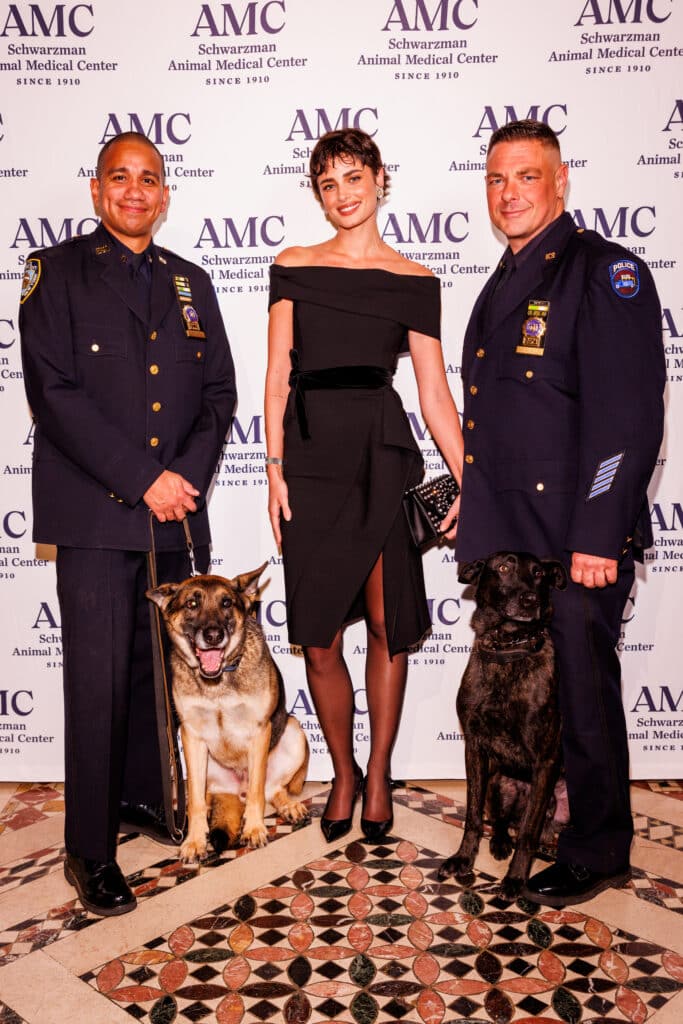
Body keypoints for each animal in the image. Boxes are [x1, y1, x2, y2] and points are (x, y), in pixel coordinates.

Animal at [150, 565, 313, 860]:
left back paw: (288, 806)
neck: (218, 682)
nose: (214, 635)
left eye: (226, 603)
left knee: (270, 789)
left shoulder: (260, 731)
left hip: (294, 732)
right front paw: (194, 840)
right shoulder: (191, 736)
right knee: (204, 796)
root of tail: (236, 791)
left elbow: (258, 790)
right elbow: (196, 802)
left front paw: (255, 828)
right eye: (191, 604)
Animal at [440, 552, 569, 897]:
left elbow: (528, 833)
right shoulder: (474, 748)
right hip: (498, 782)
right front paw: (463, 858)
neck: (509, 647)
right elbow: (472, 816)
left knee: (538, 828)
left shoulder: (546, 760)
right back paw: (499, 841)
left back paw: (549, 848)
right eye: (503, 568)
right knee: (500, 821)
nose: (530, 599)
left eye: (539, 574)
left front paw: (515, 878)